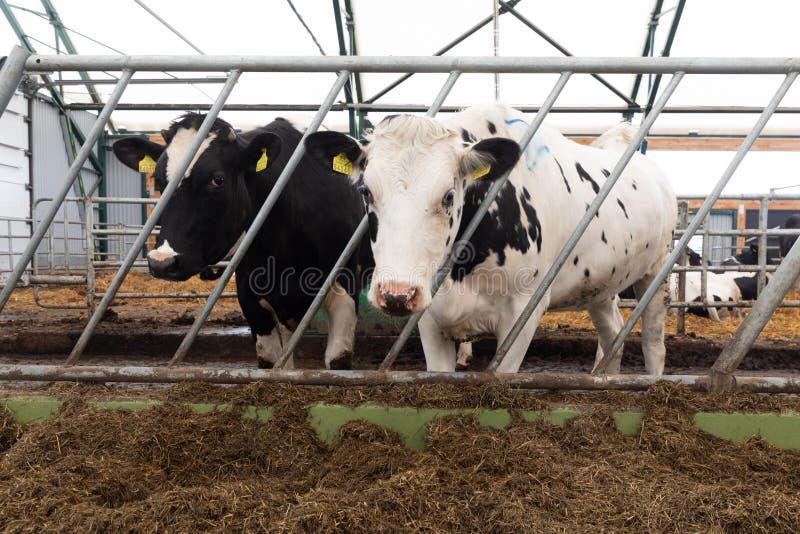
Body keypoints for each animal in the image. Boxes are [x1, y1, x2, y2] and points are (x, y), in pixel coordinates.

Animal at [112, 113, 368, 369]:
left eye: (218, 180)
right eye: (157, 181)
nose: (162, 262)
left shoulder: (346, 290)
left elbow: (337, 360)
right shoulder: (250, 296)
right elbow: (272, 362)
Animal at [306, 104, 676, 374]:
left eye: (449, 195)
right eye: (366, 191)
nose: (397, 294)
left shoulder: (524, 311)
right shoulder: (429, 315)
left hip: (657, 274)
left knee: (653, 344)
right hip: (600, 284)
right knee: (613, 334)